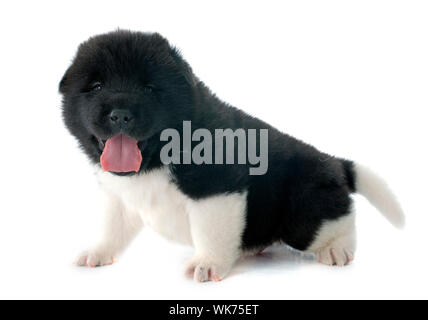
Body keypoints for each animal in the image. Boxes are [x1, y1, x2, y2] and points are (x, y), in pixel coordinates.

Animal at [60, 29, 404, 280]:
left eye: (149, 88)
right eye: (96, 86)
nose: (120, 115)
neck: (155, 161)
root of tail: (332, 162)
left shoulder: (216, 187)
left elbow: (210, 231)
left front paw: (208, 264)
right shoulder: (118, 196)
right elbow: (112, 226)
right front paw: (97, 252)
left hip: (303, 213)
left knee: (338, 219)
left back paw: (335, 249)